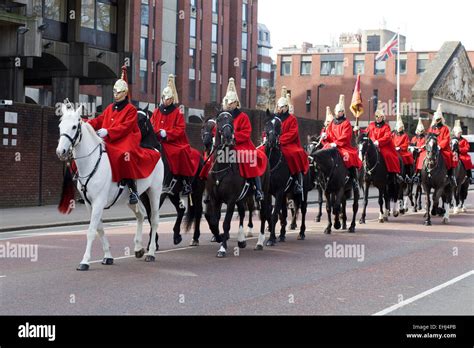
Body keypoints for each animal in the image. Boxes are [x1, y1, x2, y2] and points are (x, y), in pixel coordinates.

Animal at [56, 102, 165, 270]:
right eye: (60, 125)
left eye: (74, 126)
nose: (60, 151)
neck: (91, 162)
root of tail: (154, 149)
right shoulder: (89, 203)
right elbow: (99, 229)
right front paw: (107, 256)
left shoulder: (98, 202)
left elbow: (91, 230)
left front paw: (85, 261)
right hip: (131, 198)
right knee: (140, 214)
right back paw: (138, 248)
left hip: (154, 192)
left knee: (154, 219)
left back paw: (151, 253)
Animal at [206, 113, 272, 256]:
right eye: (219, 120)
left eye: (231, 120)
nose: (228, 136)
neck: (223, 166)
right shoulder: (215, 199)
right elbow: (214, 220)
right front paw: (218, 237)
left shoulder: (231, 200)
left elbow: (226, 223)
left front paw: (222, 248)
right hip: (242, 197)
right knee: (242, 213)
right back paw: (241, 240)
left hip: (264, 194)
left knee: (264, 214)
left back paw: (259, 242)